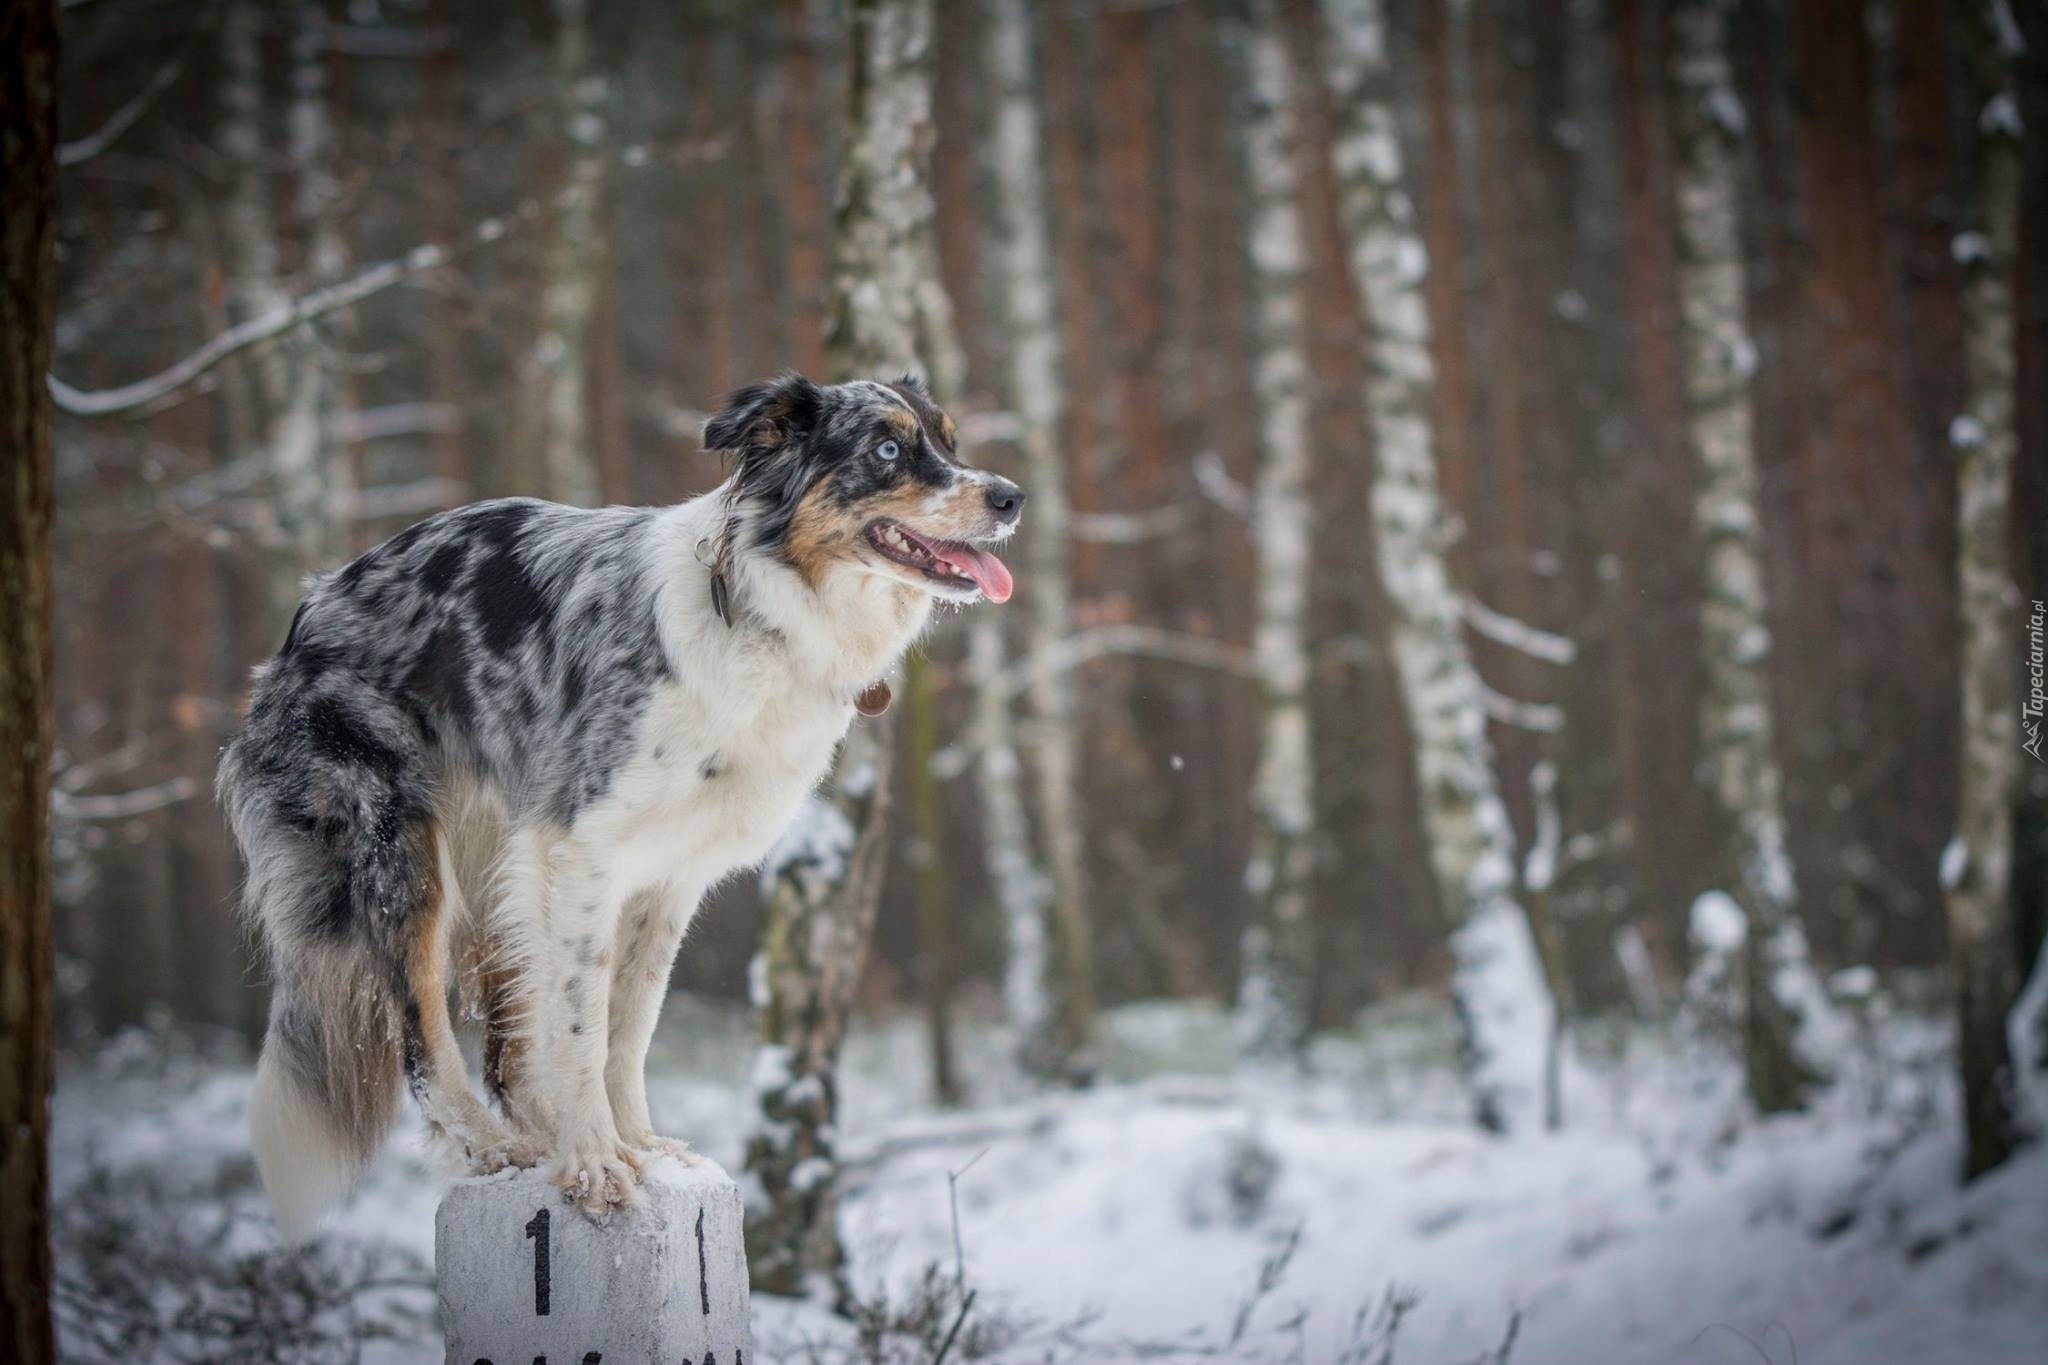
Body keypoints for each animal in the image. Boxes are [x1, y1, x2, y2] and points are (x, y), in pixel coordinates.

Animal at [220, 376, 1019, 1236]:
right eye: (886, 448)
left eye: (950, 440)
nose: (1011, 497)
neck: (762, 605)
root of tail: (307, 614)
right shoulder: (583, 849)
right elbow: (580, 1022)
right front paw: (597, 1164)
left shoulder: (668, 876)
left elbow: (629, 1023)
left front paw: (638, 1145)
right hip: (402, 856)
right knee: (421, 1028)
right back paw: (484, 1145)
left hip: (499, 862)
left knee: (509, 1047)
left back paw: (539, 1134)